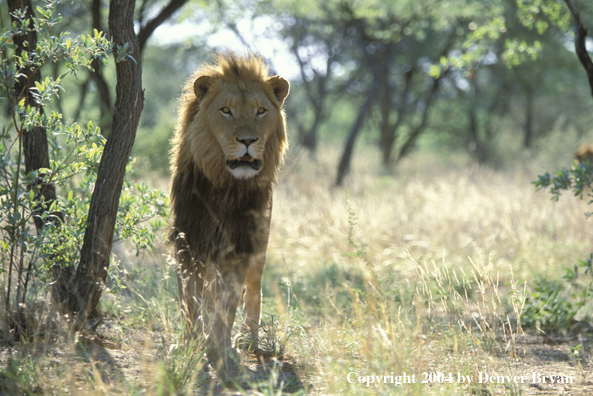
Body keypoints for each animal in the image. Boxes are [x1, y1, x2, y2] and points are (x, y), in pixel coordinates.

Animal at [166, 53, 290, 368]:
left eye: (260, 111)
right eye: (226, 111)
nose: (248, 141)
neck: (226, 187)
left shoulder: (240, 247)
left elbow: (229, 302)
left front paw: (220, 349)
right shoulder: (190, 243)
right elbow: (190, 300)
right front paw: (189, 344)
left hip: (260, 245)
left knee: (254, 291)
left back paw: (248, 338)